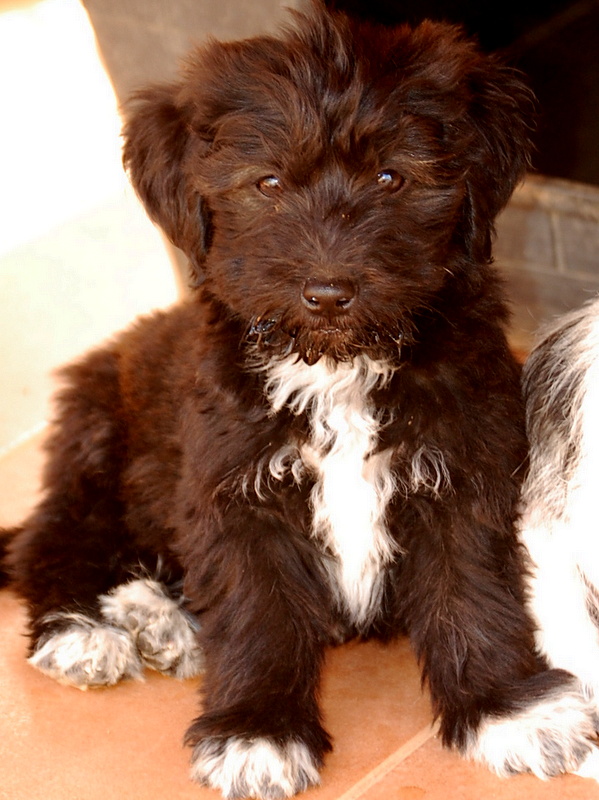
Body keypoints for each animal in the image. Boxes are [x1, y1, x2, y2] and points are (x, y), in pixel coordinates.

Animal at [3, 3, 599, 797]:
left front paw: (506, 710)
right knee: (50, 544)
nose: (328, 290)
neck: (335, 366)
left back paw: (157, 616)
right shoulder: (235, 495)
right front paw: (257, 733)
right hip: (97, 455)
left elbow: (474, 591)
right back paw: (86, 631)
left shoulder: (464, 470)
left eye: (391, 176)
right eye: (268, 183)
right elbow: (259, 614)